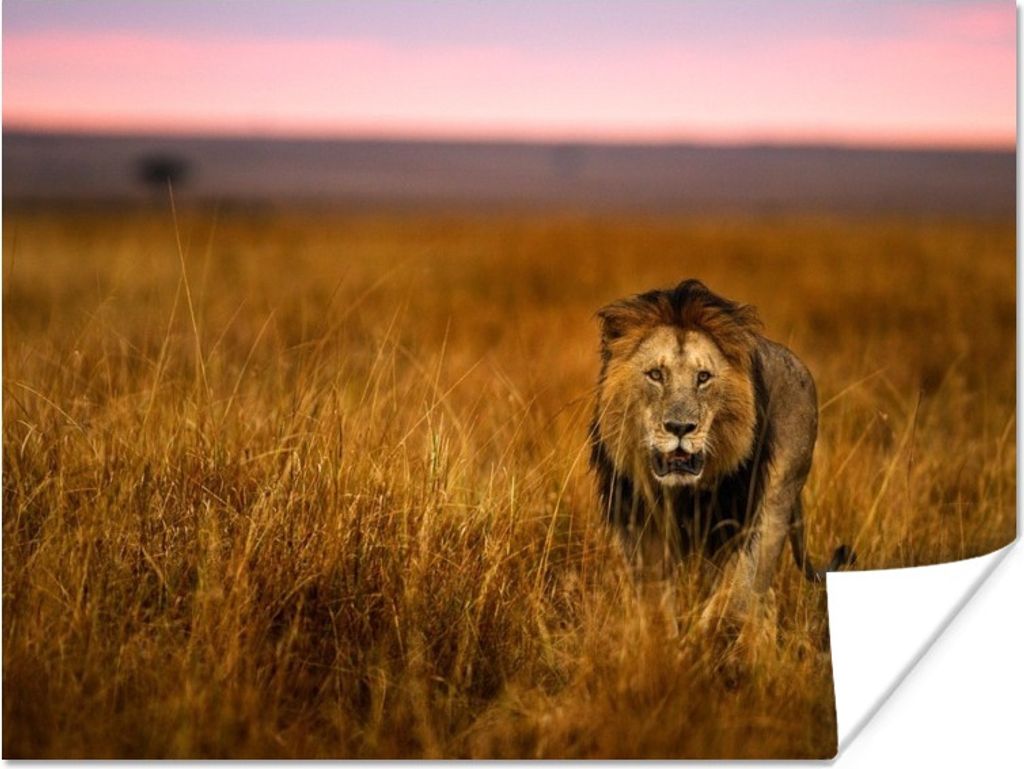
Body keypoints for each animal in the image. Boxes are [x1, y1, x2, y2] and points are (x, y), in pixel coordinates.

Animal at [590, 279, 853, 639]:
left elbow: (733, 596)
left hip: (779, 497)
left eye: (703, 377)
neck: (681, 493)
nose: (680, 427)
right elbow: (656, 605)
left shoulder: (744, 520)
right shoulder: (640, 525)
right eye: (656, 374)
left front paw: (702, 639)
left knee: (759, 594)